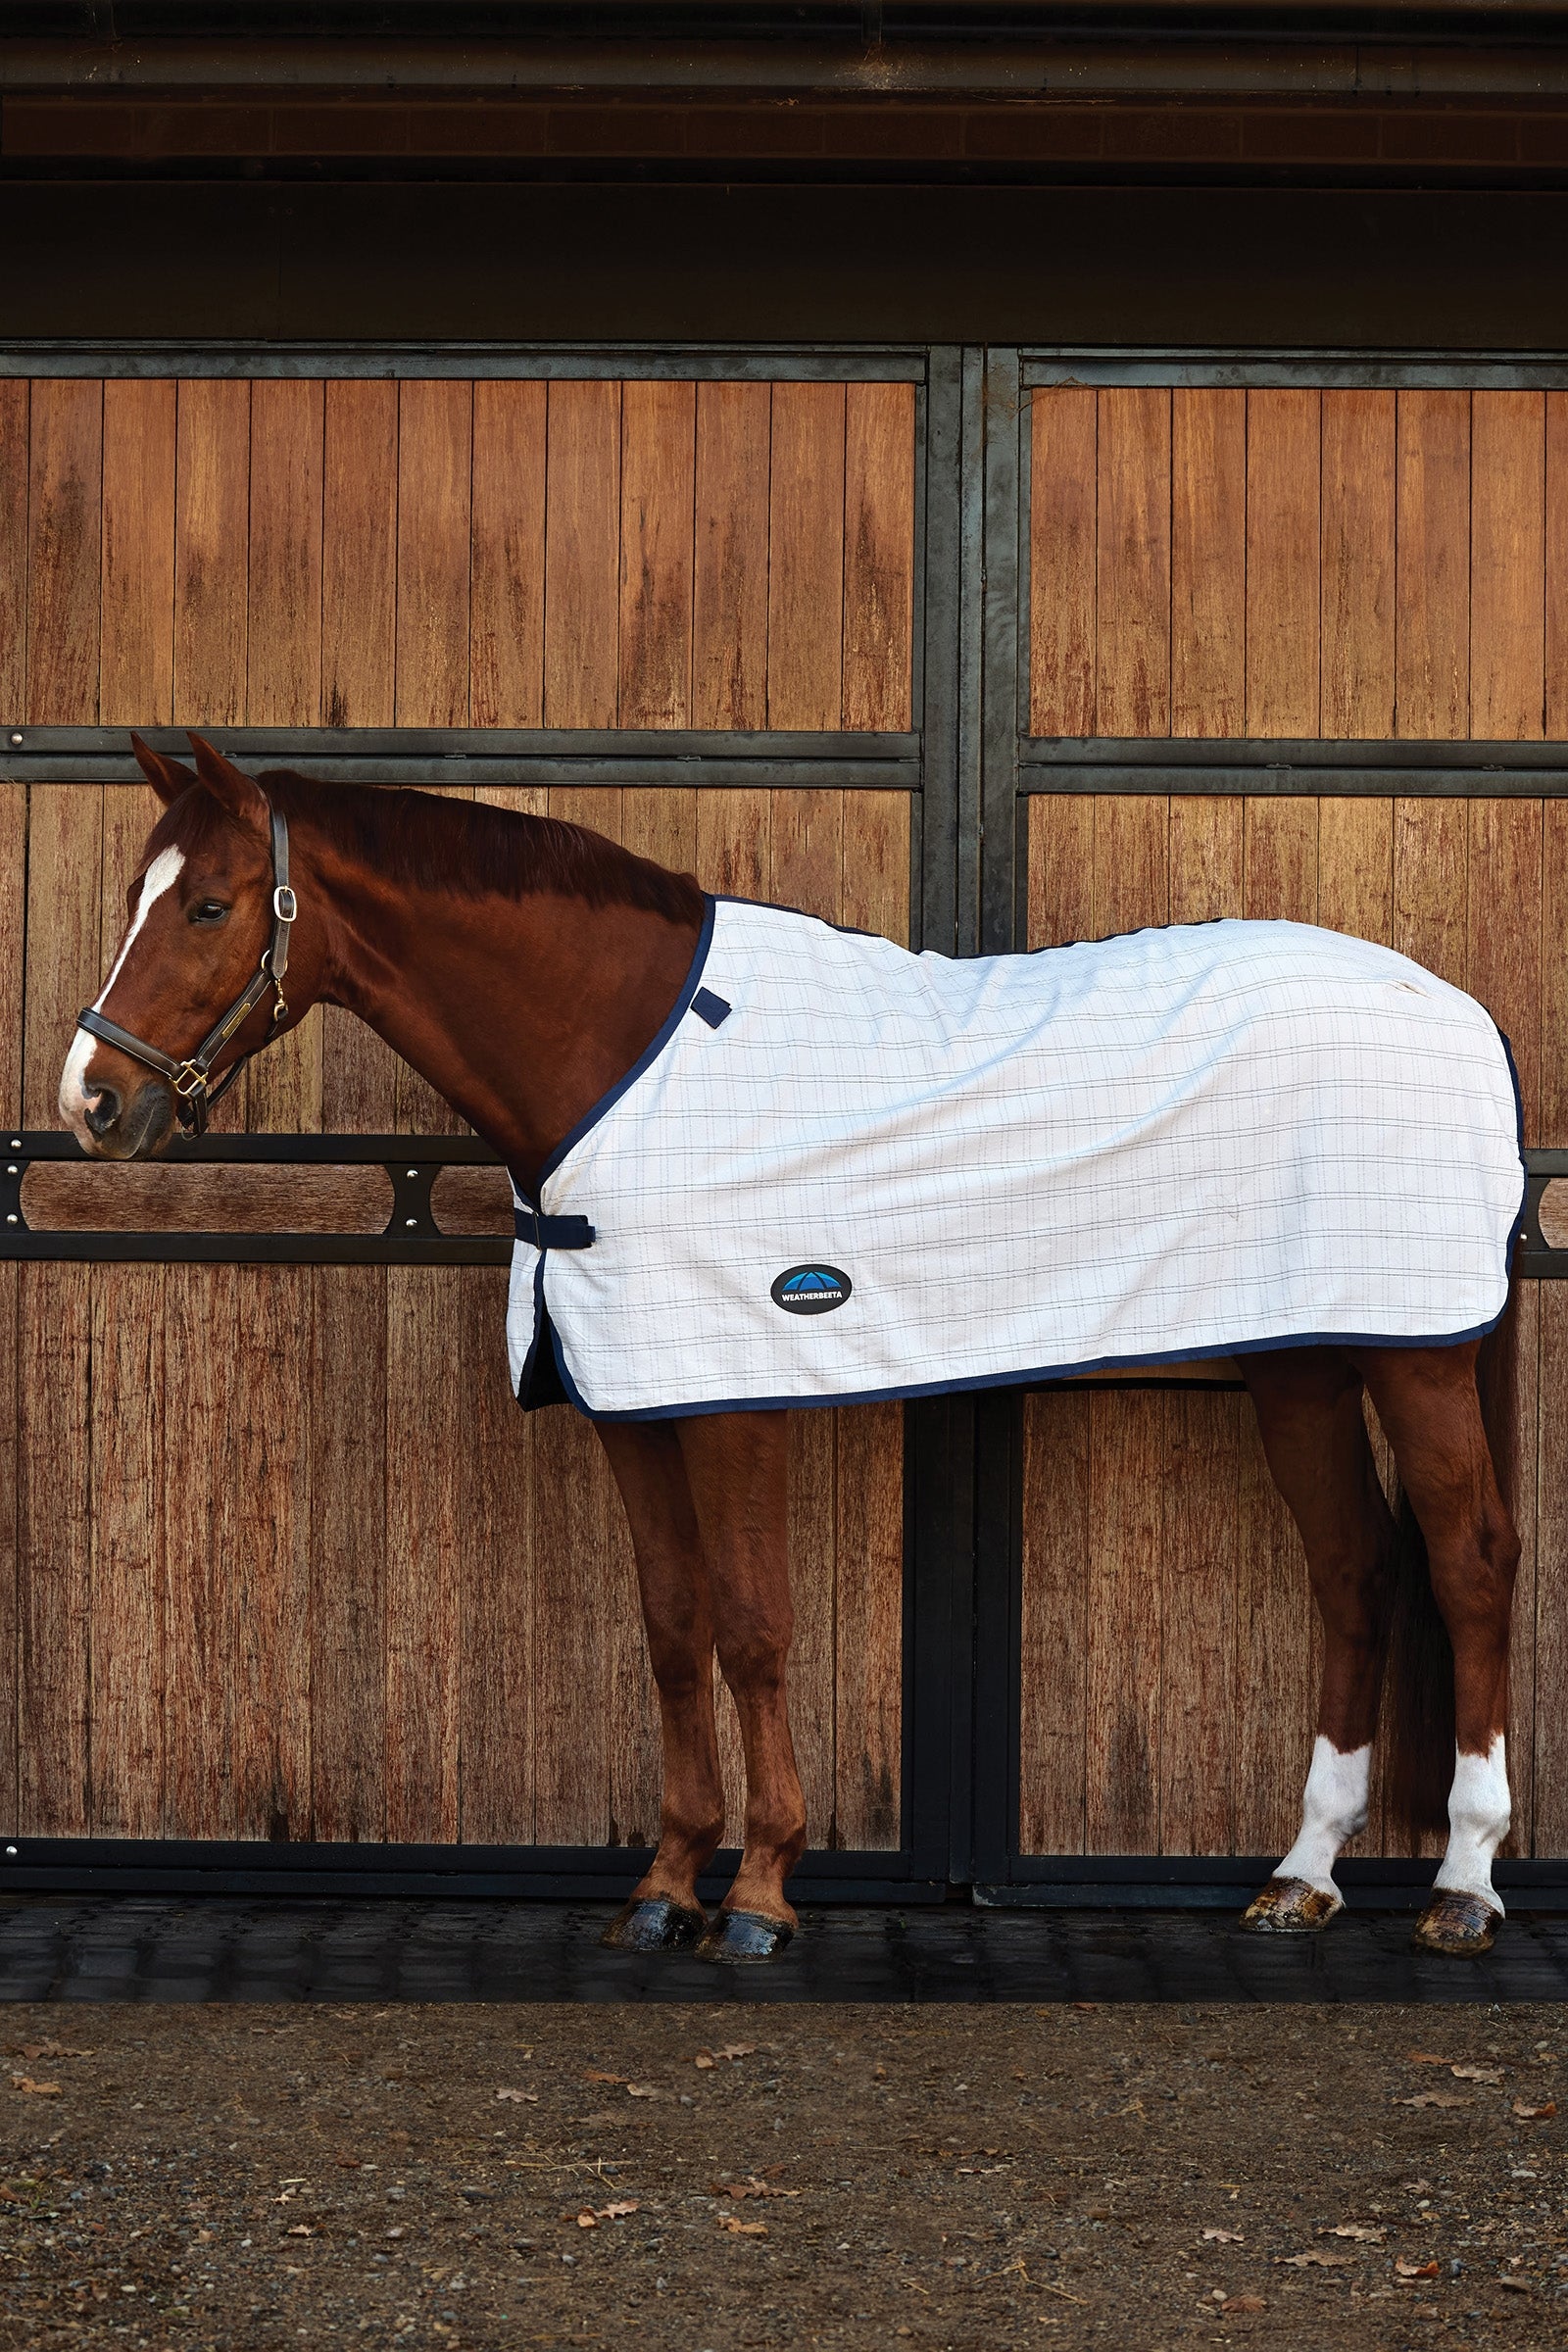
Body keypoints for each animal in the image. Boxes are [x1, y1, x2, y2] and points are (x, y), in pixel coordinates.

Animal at [58, 732, 1523, 1962]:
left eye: (208, 906)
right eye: (134, 890)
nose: (92, 1102)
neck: (622, 1058)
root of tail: (1457, 1006)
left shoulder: (734, 1391)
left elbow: (754, 1628)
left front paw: (761, 1893)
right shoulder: (634, 1399)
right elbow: (672, 1630)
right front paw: (665, 1886)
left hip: (1414, 1356)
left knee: (1466, 1562)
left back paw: (1462, 1884)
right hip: (1305, 1356)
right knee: (1353, 1568)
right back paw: (1303, 1875)